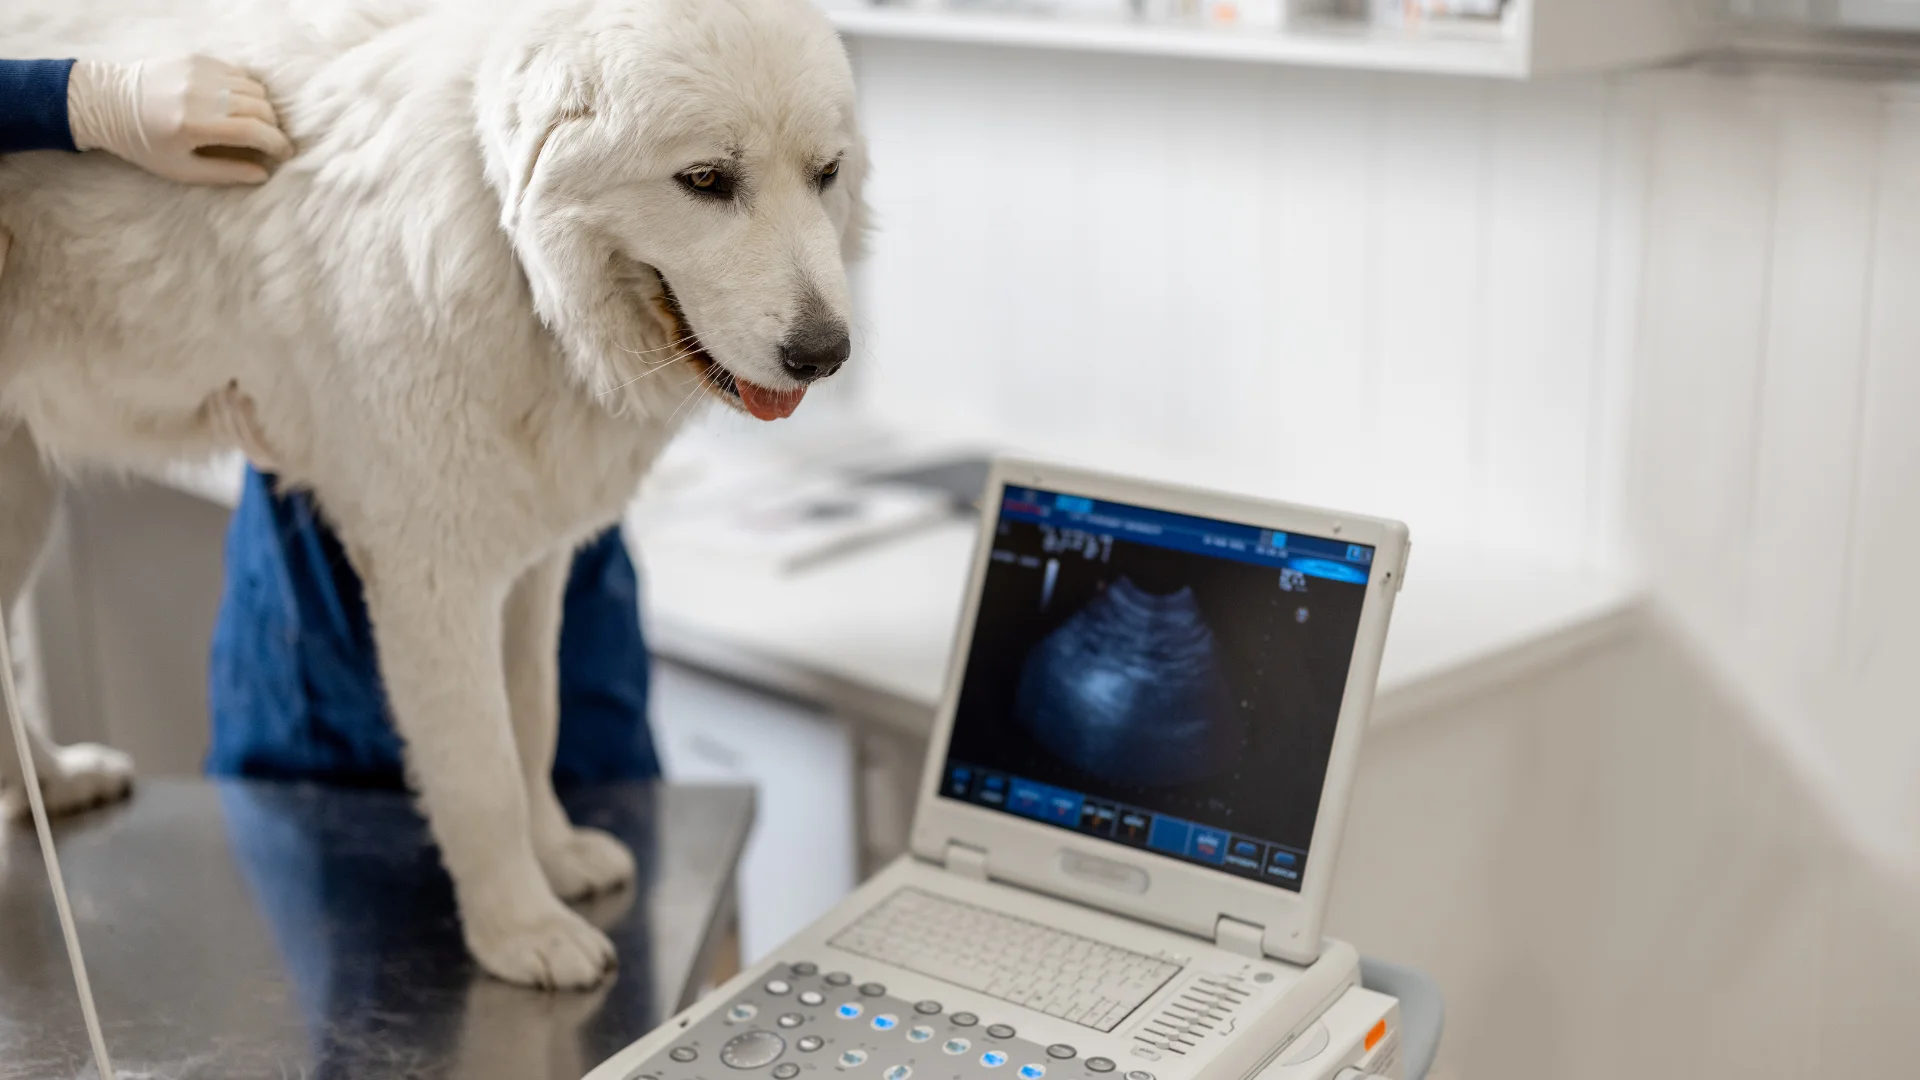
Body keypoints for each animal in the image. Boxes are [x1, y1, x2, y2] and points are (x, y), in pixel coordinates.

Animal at [0, 0, 871, 983]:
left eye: (826, 175)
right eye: (707, 181)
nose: (825, 354)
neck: (515, 259)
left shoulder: (530, 567)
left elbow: (533, 721)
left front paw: (555, 856)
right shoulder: (432, 578)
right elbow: (481, 767)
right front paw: (519, 930)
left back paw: (54, 784)